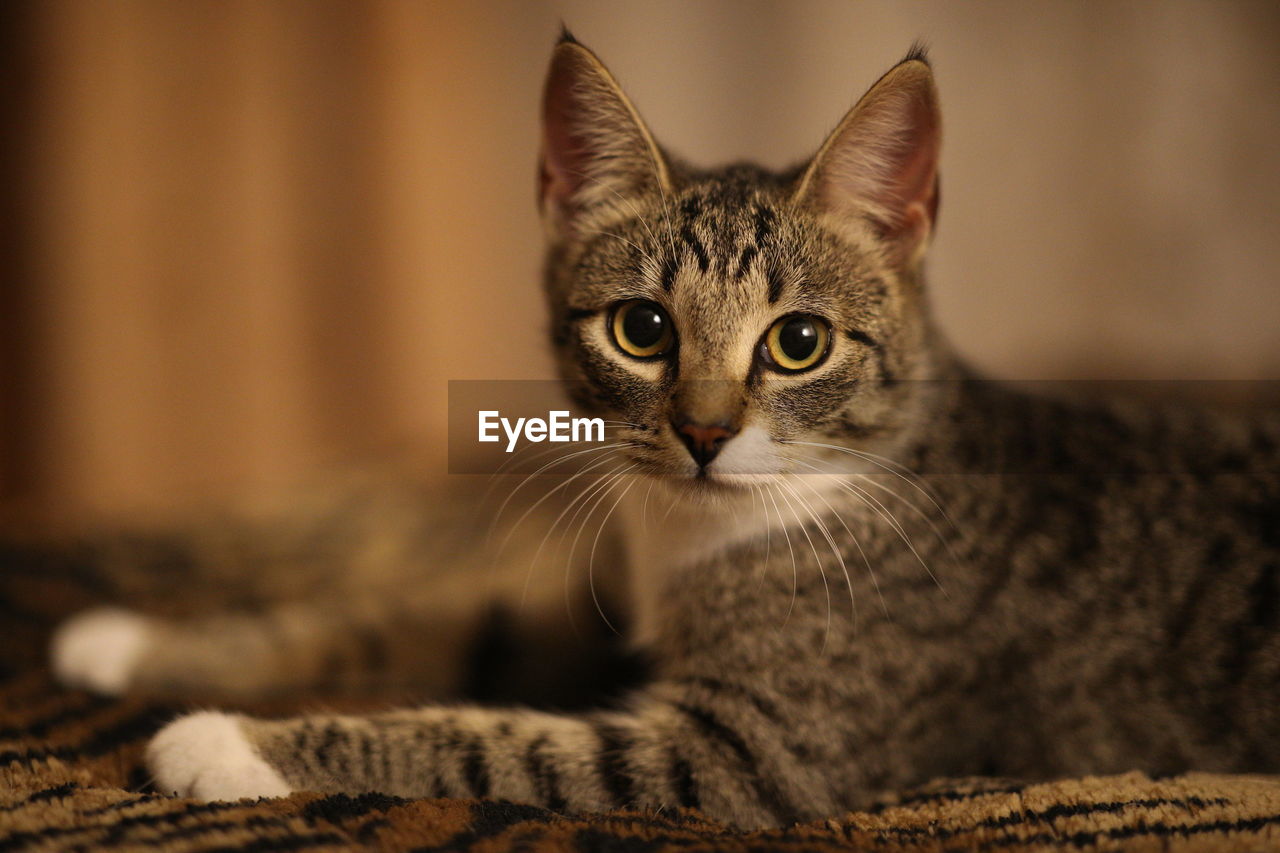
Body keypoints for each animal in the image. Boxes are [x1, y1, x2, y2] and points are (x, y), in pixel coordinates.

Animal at [42, 31, 1280, 824]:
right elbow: (425, 622)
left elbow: (498, 739)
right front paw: (133, 646)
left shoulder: (755, 750)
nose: (701, 431)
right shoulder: (593, 613)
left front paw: (227, 740)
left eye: (797, 342)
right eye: (641, 329)